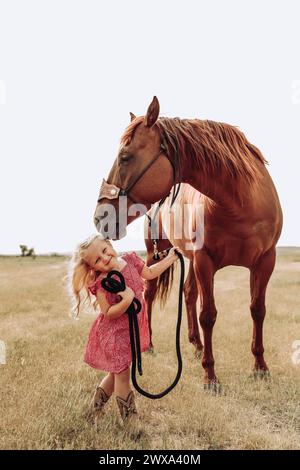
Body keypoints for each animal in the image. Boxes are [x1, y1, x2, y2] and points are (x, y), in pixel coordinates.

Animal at [95, 97, 282, 388]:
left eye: (125, 157)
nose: (100, 216)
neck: (241, 203)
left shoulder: (265, 261)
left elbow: (257, 310)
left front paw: (260, 367)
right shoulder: (205, 261)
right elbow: (209, 315)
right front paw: (210, 376)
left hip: (190, 260)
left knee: (188, 293)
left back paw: (196, 345)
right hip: (158, 255)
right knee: (150, 294)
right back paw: (152, 344)